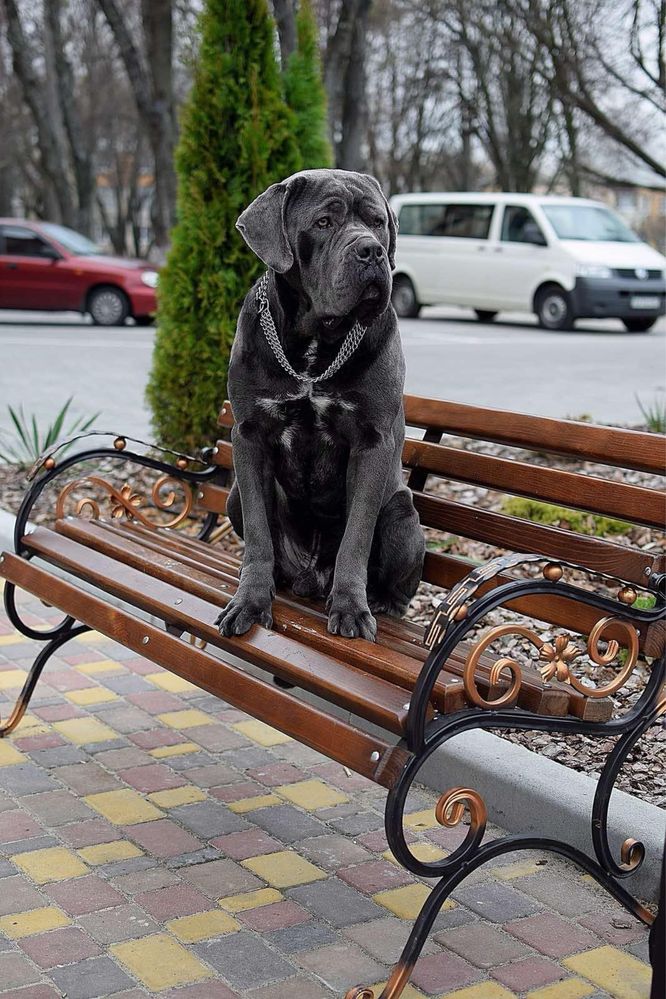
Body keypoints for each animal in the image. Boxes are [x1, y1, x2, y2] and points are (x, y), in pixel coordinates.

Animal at [215, 169, 422, 640]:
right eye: (325, 222)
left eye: (377, 221)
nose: (372, 250)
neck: (316, 345)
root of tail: (311, 576)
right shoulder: (249, 435)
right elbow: (258, 534)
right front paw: (250, 601)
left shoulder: (372, 442)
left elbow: (356, 537)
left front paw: (351, 608)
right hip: (232, 496)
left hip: (402, 515)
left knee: (398, 582)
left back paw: (379, 601)